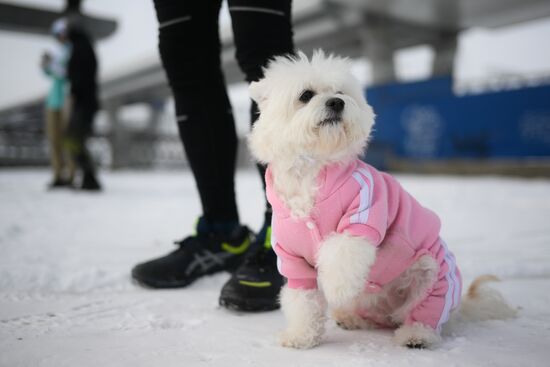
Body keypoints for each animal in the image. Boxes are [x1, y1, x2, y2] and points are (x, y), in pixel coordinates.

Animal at [249, 50, 516, 350]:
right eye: (306, 95)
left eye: (340, 92)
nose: (337, 103)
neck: (312, 171)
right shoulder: (292, 260)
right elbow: (302, 302)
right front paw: (300, 335)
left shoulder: (363, 219)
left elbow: (341, 253)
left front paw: (336, 288)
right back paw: (351, 318)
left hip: (433, 277)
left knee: (425, 315)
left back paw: (415, 335)